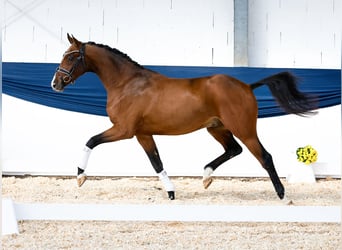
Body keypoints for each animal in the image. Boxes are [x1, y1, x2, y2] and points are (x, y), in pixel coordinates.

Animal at [50, 34, 316, 200]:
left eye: (71, 56)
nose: (56, 83)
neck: (127, 84)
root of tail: (247, 86)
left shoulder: (124, 130)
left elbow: (91, 141)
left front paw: (80, 177)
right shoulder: (142, 134)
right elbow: (156, 163)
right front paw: (171, 192)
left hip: (244, 129)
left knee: (264, 156)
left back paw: (281, 194)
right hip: (216, 128)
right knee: (234, 149)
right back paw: (206, 176)